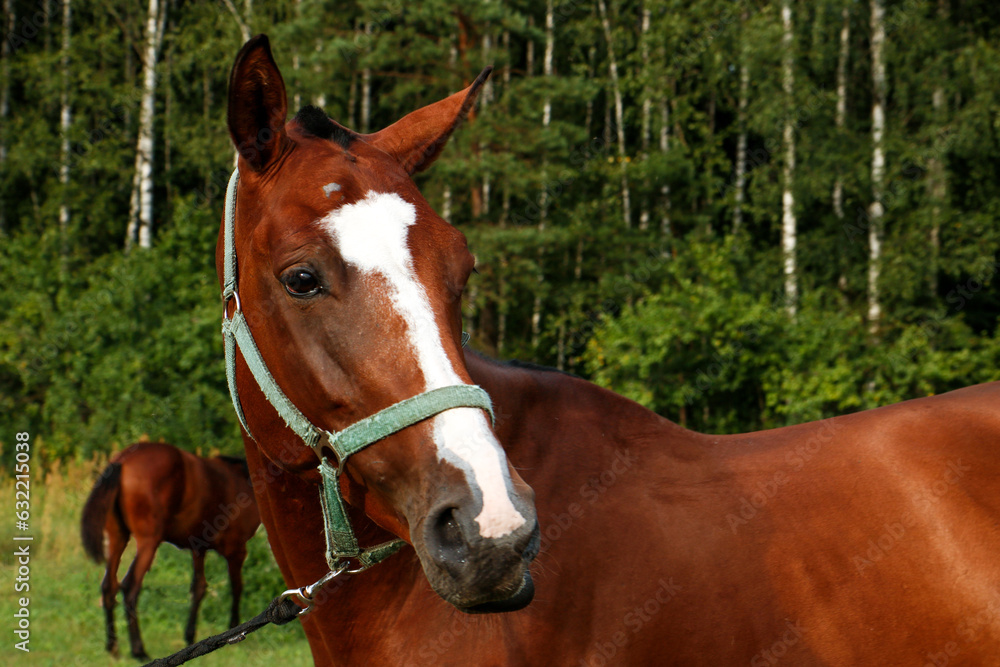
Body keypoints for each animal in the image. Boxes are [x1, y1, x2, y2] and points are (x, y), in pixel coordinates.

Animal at [80, 441, 261, 659]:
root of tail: (123, 460)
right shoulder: (237, 550)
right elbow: (236, 587)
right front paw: (235, 628)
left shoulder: (198, 548)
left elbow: (199, 587)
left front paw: (190, 636)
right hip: (149, 542)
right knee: (130, 587)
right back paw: (139, 650)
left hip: (118, 538)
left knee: (109, 586)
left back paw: (113, 647)